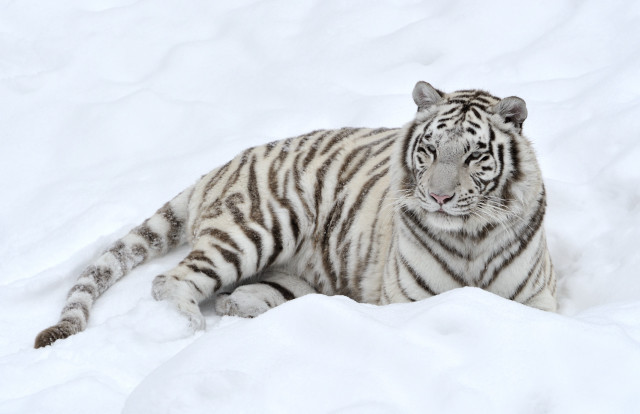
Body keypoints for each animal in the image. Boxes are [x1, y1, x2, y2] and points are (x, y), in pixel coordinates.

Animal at [35, 81, 556, 348]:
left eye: (473, 155)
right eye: (428, 150)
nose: (438, 197)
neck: (470, 237)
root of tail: (216, 169)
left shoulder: (537, 300)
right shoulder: (405, 302)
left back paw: (239, 306)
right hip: (258, 226)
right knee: (171, 280)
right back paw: (188, 328)